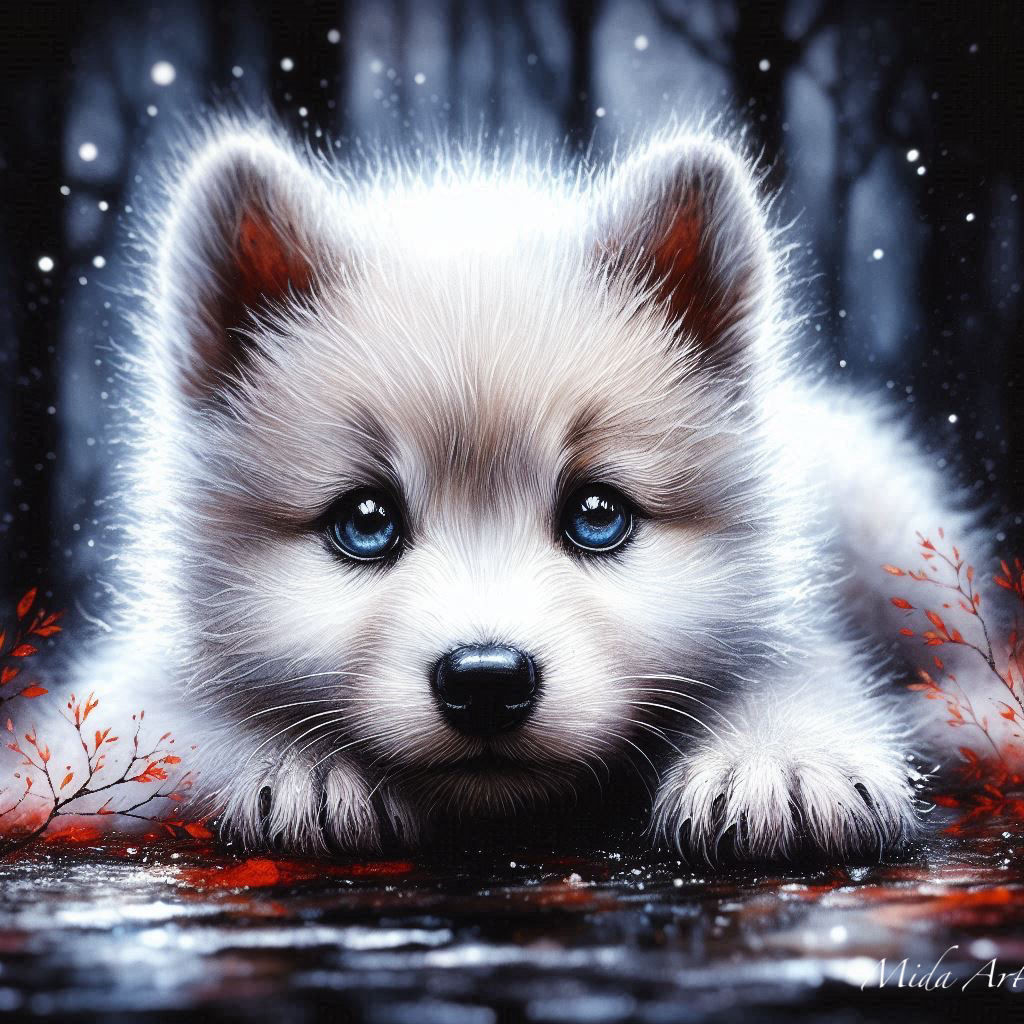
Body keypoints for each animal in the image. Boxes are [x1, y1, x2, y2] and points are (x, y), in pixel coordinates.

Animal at [32, 122, 1000, 861]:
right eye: (366, 523)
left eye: (598, 516)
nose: (487, 682)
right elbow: (163, 726)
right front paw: (299, 768)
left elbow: (801, 666)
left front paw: (782, 760)